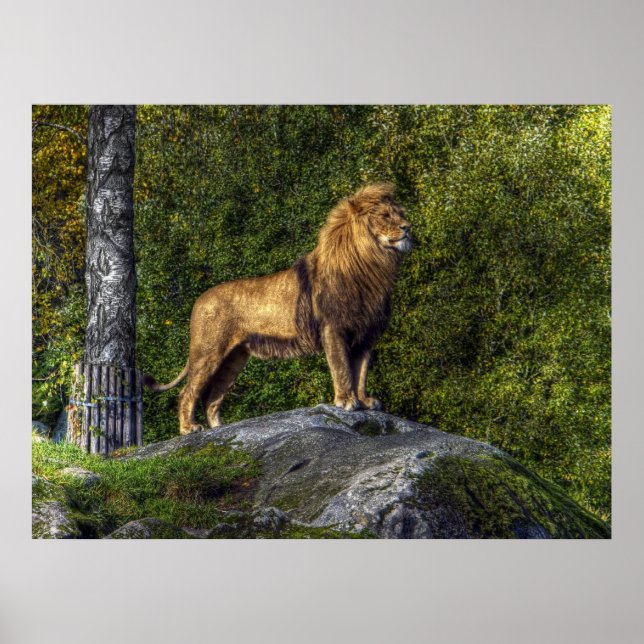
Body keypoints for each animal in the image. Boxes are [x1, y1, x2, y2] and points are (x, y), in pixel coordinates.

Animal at [143, 183, 412, 434]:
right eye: (386, 215)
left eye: (400, 213)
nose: (408, 227)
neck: (373, 263)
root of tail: (199, 301)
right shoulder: (333, 329)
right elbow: (342, 369)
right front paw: (346, 401)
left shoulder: (366, 335)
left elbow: (361, 372)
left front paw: (364, 402)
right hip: (208, 351)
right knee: (187, 392)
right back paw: (189, 428)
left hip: (234, 358)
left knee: (212, 398)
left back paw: (220, 429)